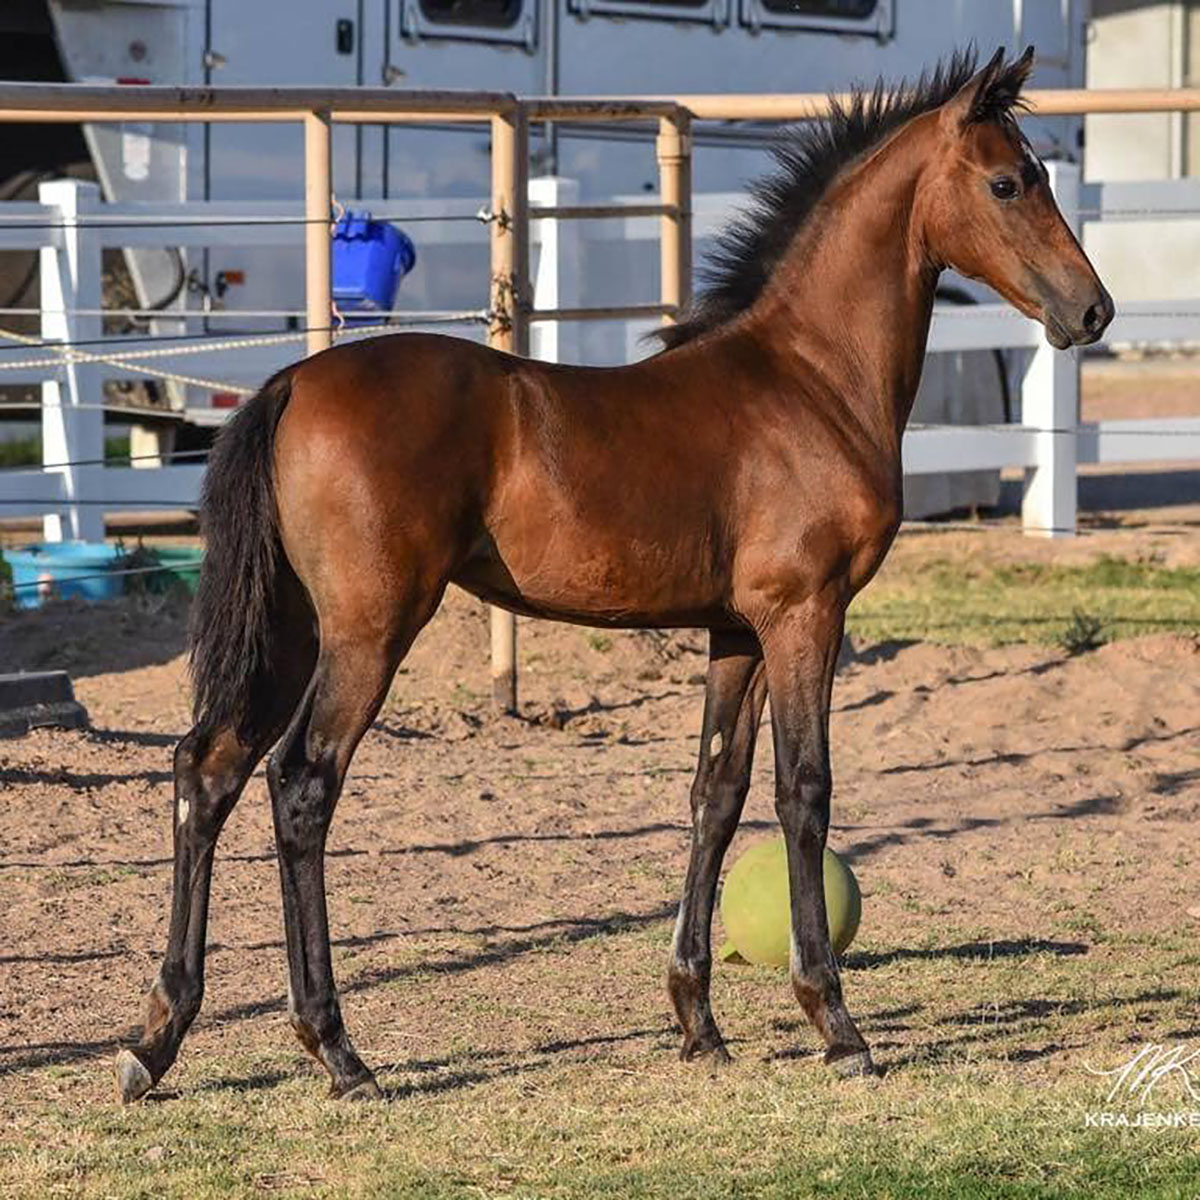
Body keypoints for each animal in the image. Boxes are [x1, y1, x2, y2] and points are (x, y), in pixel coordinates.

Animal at [117, 44, 1108, 1099]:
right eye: (1007, 182)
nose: (1092, 310)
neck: (811, 379)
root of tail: (293, 381)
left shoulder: (735, 631)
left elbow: (716, 794)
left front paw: (698, 1022)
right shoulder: (806, 615)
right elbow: (804, 793)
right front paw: (837, 1026)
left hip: (295, 628)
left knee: (206, 769)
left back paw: (156, 1041)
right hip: (368, 630)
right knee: (301, 784)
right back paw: (337, 1050)